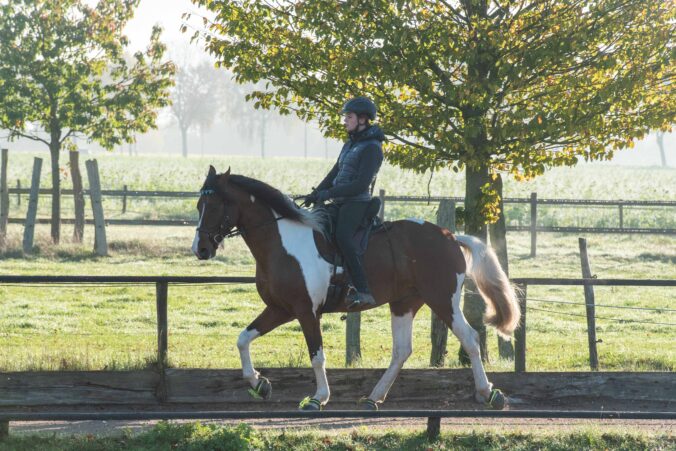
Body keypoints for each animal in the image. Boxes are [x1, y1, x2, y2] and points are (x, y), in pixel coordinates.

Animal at [193, 167, 520, 414]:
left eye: (215, 206)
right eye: (199, 206)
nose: (201, 249)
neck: (282, 243)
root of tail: (450, 236)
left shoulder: (306, 311)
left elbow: (317, 355)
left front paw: (318, 398)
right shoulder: (280, 309)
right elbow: (243, 339)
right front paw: (259, 383)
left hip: (442, 300)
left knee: (470, 338)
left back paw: (489, 393)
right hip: (404, 303)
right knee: (402, 350)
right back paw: (374, 398)